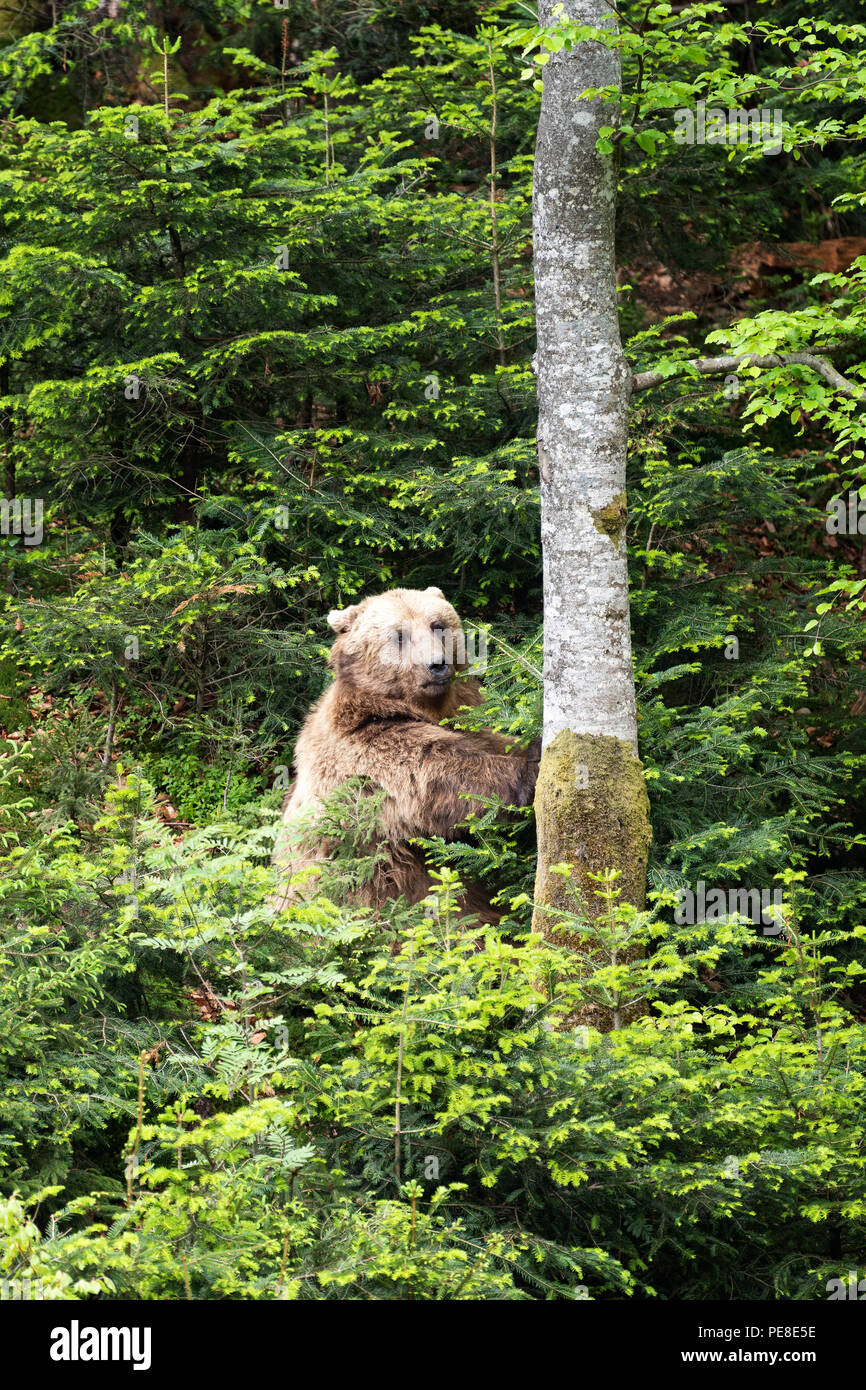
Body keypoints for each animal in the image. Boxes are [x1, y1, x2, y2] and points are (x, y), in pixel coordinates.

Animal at [273, 583, 539, 917]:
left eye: (438, 625)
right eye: (399, 635)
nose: (437, 665)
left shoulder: (465, 718)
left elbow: (494, 741)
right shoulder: (367, 748)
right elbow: (440, 776)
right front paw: (535, 762)